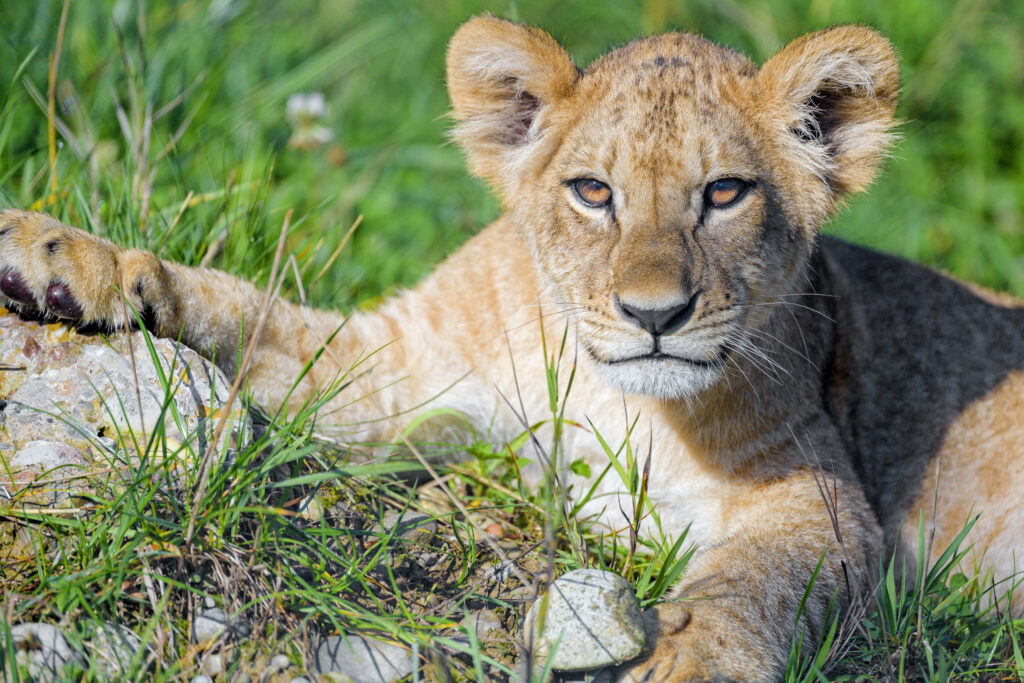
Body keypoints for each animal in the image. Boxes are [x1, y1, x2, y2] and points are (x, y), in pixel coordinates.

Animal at [1, 14, 1021, 681]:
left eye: (726, 193)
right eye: (594, 192)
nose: (655, 314)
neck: (619, 396)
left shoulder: (824, 497)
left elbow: (750, 584)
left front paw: (688, 658)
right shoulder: (399, 367)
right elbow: (241, 309)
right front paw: (64, 255)